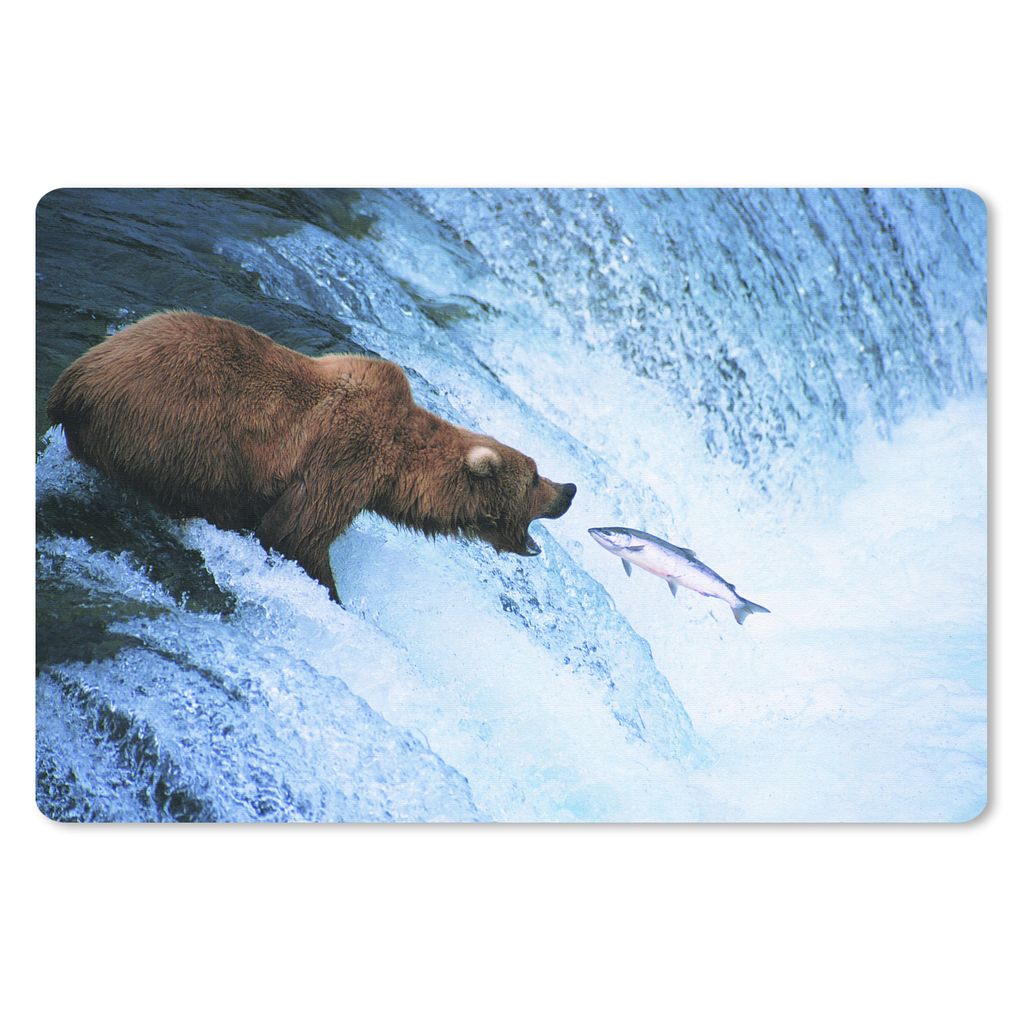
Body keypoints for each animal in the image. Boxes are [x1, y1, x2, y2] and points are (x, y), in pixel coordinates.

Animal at [47, 311, 577, 601]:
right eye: (534, 476)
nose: (569, 489)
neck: (397, 465)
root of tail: (75, 379)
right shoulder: (345, 457)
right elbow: (298, 533)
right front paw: (333, 593)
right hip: (173, 431)